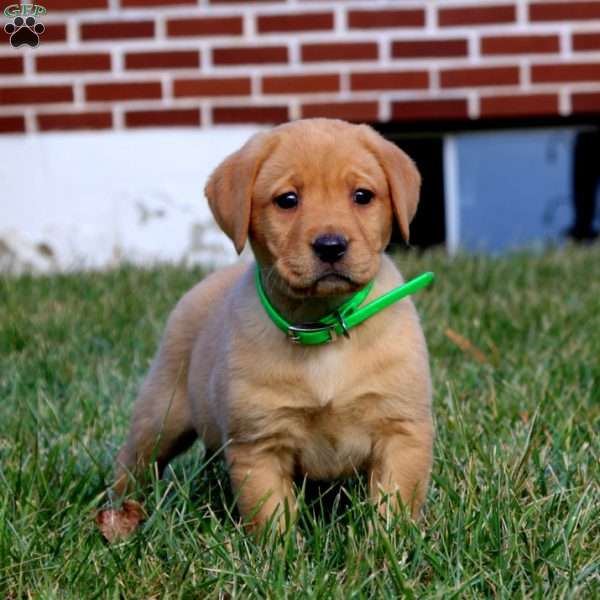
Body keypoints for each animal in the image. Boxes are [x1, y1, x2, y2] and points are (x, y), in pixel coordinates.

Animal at [106, 119, 432, 536]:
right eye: (287, 200)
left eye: (362, 196)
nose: (331, 246)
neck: (323, 327)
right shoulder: (259, 445)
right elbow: (271, 517)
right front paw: (280, 551)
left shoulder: (401, 430)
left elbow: (393, 506)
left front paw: (388, 545)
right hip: (162, 410)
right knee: (134, 458)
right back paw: (119, 510)